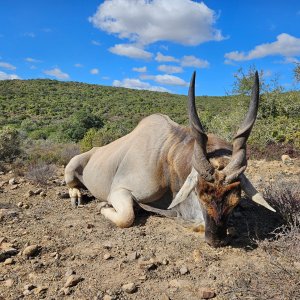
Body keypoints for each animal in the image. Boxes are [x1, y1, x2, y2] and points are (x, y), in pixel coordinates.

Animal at [65, 71, 274, 247]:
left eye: (236, 200)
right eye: (199, 193)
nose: (216, 240)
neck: (167, 155)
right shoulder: (119, 191)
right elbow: (127, 217)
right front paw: (103, 205)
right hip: (72, 167)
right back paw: (76, 196)